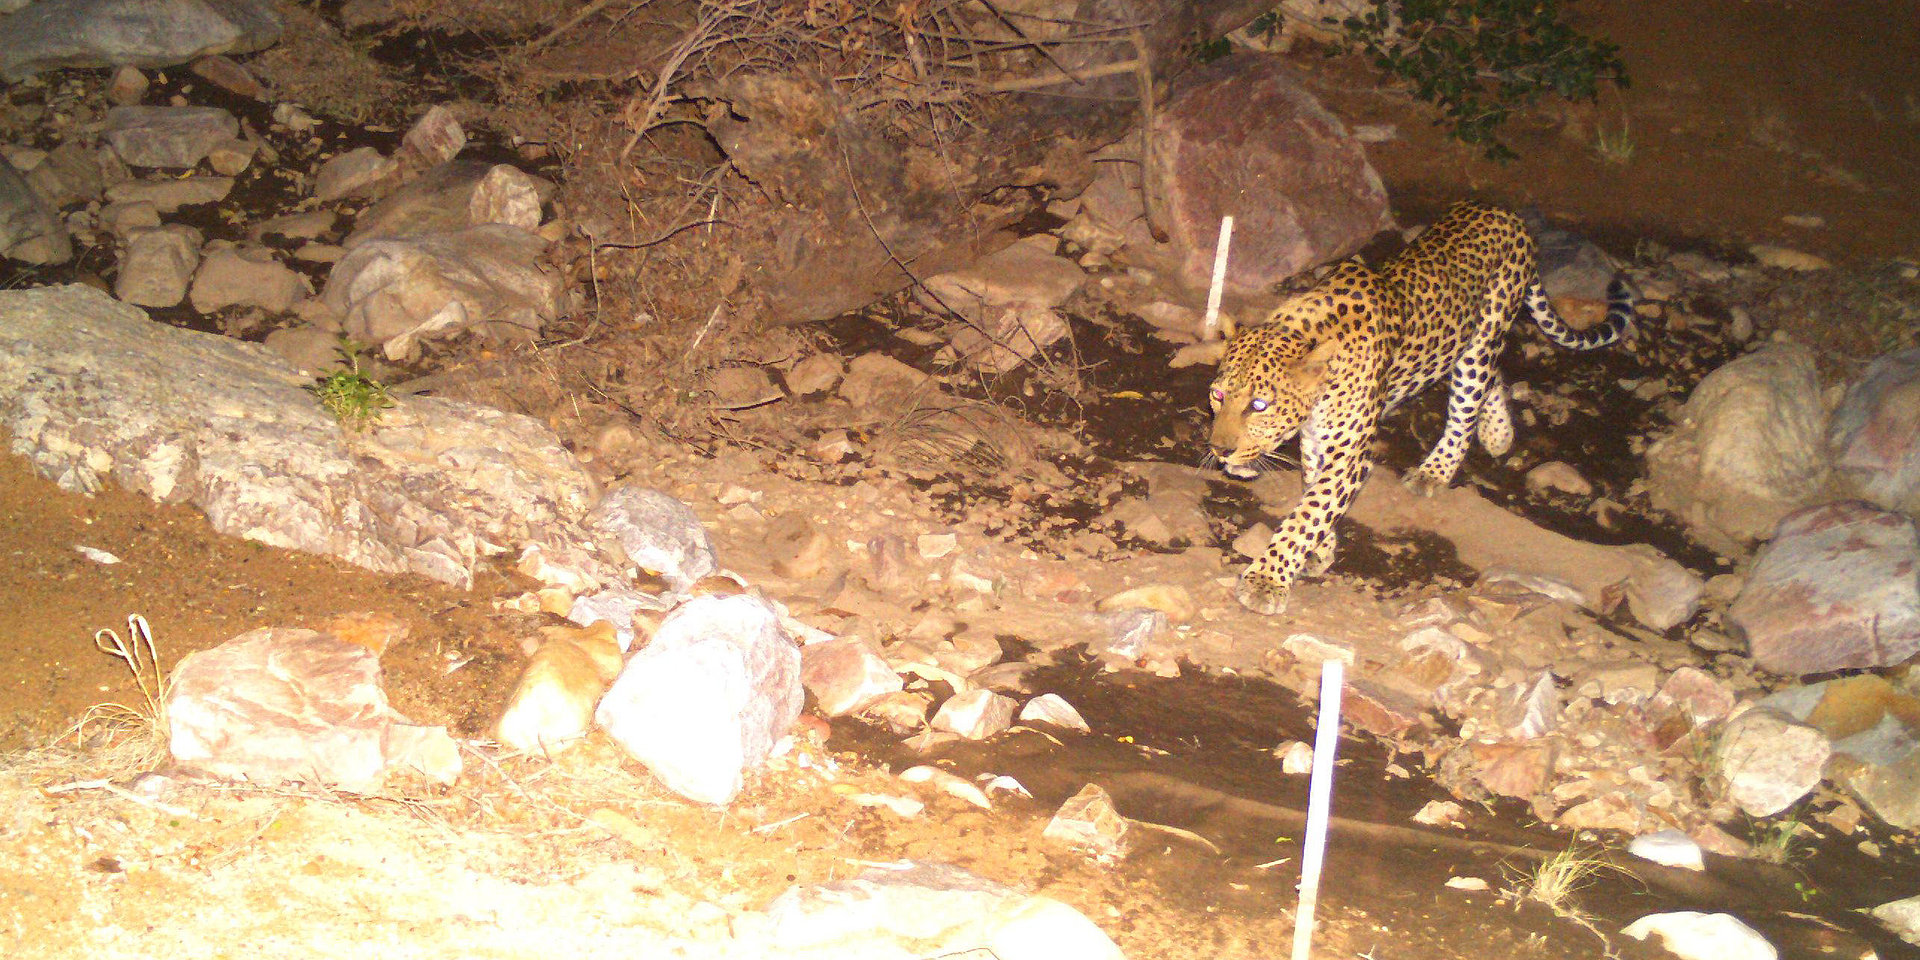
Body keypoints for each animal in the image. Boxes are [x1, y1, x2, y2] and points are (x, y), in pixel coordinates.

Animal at [1206, 200, 1635, 616]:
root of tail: (1506, 211)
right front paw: (1319, 551)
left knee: (1467, 406)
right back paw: (1497, 433)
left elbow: (1308, 513)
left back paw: (1437, 469)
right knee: (1492, 375)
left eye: (1259, 405)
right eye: (1218, 396)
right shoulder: (1316, 443)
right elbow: (1313, 493)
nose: (1219, 450)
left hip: (1484, 336)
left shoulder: (1350, 456)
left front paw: (1266, 582)